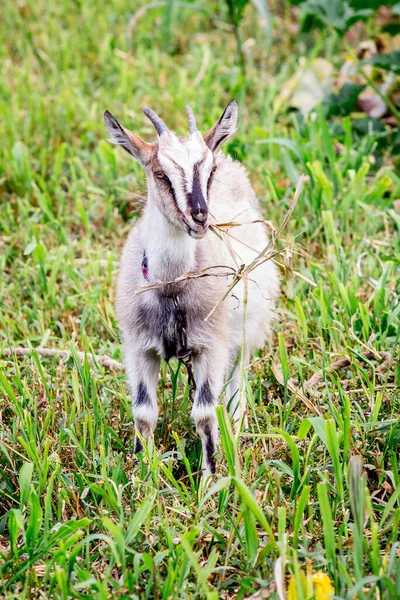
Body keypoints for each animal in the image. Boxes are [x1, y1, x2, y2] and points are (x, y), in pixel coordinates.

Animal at [104, 102, 280, 478]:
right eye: (159, 173)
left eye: (208, 170)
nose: (200, 216)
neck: (172, 287)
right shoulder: (138, 348)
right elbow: (144, 413)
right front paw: (142, 476)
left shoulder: (210, 347)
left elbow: (204, 414)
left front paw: (210, 480)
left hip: (246, 329)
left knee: (237, 383)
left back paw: (236, 428)